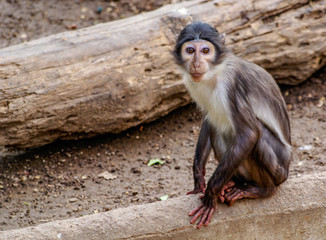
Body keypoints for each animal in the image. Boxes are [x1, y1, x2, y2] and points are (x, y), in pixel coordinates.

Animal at [173, 22, 292, 229]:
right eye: (190, 50)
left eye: (205, 50)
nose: (196, 63)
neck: (214, 73)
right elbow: (209, 119)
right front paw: (199, 177)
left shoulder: (231, 86)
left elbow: (250, 133)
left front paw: (210, 193)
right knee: (218, 129)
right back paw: (233, 183)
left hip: (279, 168)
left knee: (258, 135)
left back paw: (263, 189)